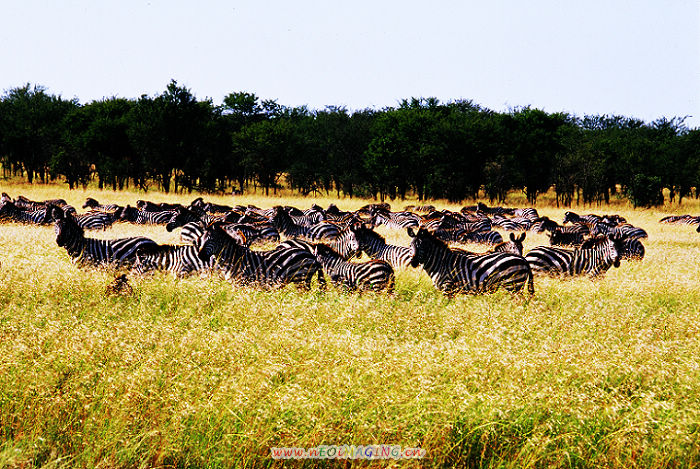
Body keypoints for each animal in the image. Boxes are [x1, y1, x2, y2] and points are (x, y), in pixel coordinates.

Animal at [196, 221, 324, 288]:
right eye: (200, 239)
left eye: (211, 240)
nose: (200, 256)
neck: (234, 258)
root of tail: (312, 255)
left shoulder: (241, 283)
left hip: (301, 280)